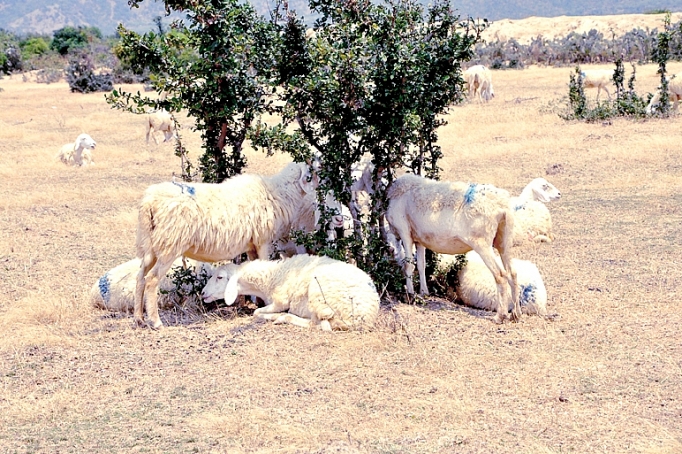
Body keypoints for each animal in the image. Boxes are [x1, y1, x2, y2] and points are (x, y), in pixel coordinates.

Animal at [136, 161, 322, 328]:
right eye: (313, 171)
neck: (279, 193)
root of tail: (149, 203)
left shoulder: (252, 245)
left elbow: (253, 266)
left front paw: (256, 301)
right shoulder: (263, 241)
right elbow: (264, 265)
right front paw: (262, 302)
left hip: (151, 246)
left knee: (140, 277)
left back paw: (139, 318)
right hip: (170, 244)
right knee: (151, 279)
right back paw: (156, 322)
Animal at [199, 254, 380, 332]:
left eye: (220, 277)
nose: (203, 293)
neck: (271, 277)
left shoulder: (281, 300)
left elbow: (257, 312)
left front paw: (271, 315)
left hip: (319, 296)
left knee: (318, 324)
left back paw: (282, 318)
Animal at [382, 172, 520, 324]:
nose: (390, 249)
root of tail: (502, 206)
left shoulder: (405, 232)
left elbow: (408, 265)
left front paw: (410, 295)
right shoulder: (419, 239)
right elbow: (421, 265)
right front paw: (424, 292)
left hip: (482, 243)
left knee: (500, 275)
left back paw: (500, 315)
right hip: (504, 240)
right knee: (513, 273)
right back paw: (516, 314)